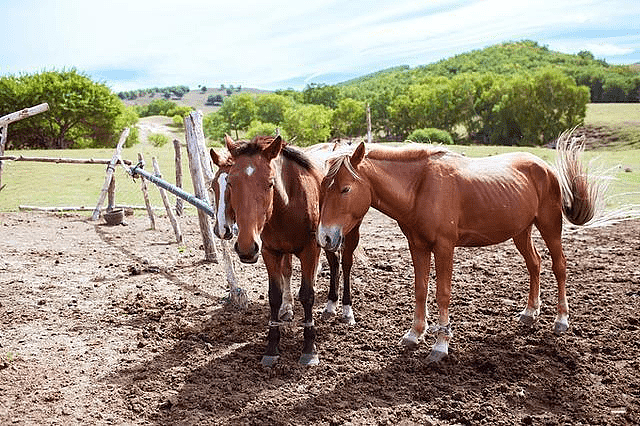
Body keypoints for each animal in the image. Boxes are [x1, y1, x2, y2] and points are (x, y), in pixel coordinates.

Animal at [210, 136, 360, 366]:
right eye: (231, 183)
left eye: (270, 183)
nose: (245, 247)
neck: (289, 202)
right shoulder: (269, 252)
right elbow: (275, 294)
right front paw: (272, 346)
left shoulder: (310, 251)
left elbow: (307, 294)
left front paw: (309, 349)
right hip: (327, 239)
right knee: (333, 264)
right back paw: (329, 306)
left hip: (347, 234)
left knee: (346, 265)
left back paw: (346, 311)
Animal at [318, 131, 604, 362]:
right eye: (321, 187)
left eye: (345, 189)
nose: (325, 238)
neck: (420, 187)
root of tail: (545, 167)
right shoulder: (418, 246)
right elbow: (420, 289)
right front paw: (414, 334)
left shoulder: (444, 247)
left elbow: (442, 293)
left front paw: (440, 345)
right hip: (521, 232)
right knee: (535, 264)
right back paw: (529, 312)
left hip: (549, 227)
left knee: (559, 267)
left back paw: (561, 320)